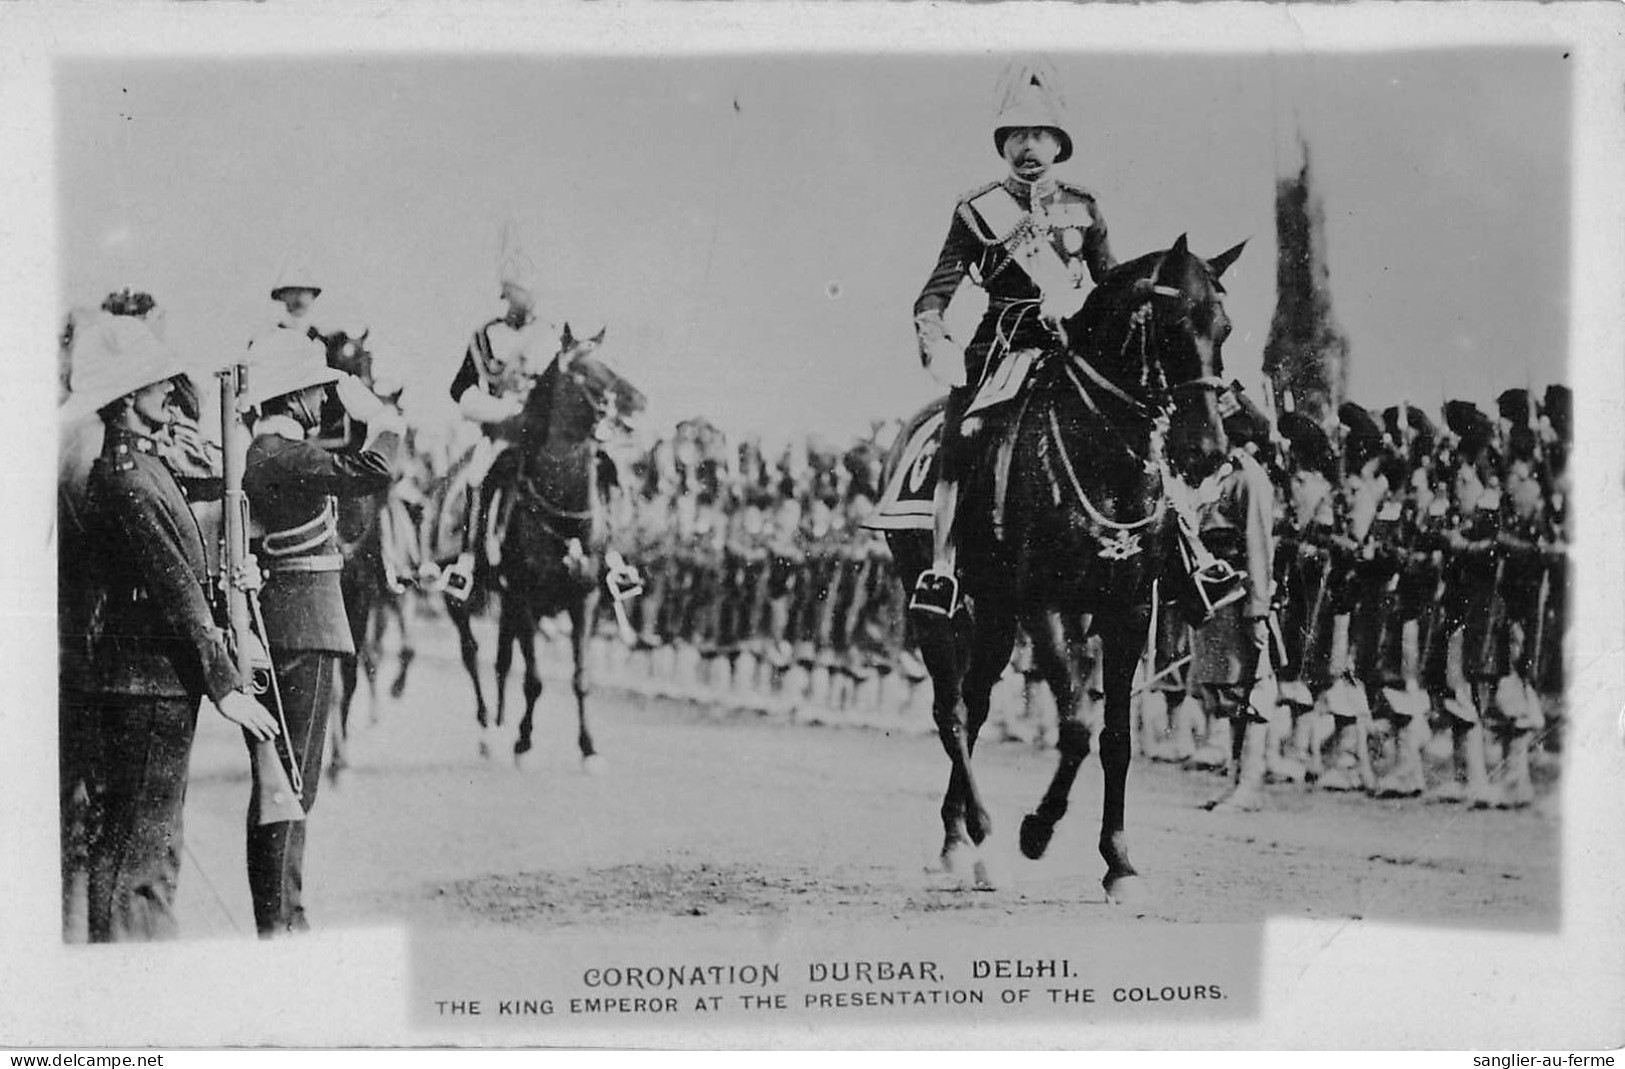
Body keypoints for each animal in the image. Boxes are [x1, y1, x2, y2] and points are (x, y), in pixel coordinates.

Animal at [448, 324, 650, 766]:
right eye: (583, 370)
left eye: (610, 360)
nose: (639, 404)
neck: (562, 510)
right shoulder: (525, 597)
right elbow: (535, 679)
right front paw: (523, 743)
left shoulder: (583, 598)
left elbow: (580, 677)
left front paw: (588, 748)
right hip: (460, 600)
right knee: (471, 653)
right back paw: (488, 730)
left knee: (501, 661)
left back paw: (499, 725)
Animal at [884, 233, 1235, 896]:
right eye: (1174, 324)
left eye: (1224, 328)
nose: (1207, 452)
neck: (1102, 456)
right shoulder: (1046, 607)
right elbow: (1074, 724)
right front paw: (1037, 831)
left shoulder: (1128, 611)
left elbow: (1116, 736)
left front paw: (1119, 861)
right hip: (941, 604)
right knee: (952, 710)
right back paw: (977, 838)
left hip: (996, 612)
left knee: (976, 704)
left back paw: (958, 839)